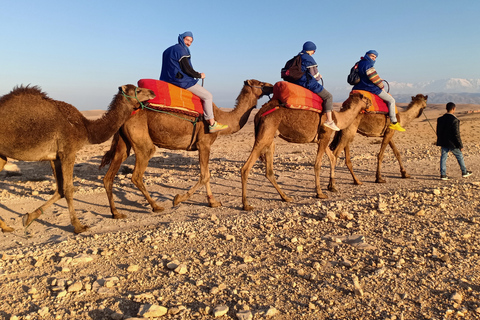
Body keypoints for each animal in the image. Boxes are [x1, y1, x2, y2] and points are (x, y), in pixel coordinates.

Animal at [0, 84, 155, 235]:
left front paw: (28, 217)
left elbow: (60, 190)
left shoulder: (55, 157)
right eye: (138, 90)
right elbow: (68, 189)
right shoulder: (68, 151)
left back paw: (6, 227)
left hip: (1, 155)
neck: (85, 127)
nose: (152, 92)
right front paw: (79, 226)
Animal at [100, 79, 274, 219]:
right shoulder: (204, 143)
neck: (222, 118)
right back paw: (156, 206)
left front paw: (213, 202)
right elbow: (204, 175)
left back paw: (116, 213)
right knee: (137, 174)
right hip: (142, 142)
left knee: (110, 175)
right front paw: (178, 199)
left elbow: (207, 175)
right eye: (260, 83)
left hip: (124, 142)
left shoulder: (203, 146)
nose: (272, 86)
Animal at [240, 90, 372, 210]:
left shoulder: (321, 140)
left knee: (269, 171)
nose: (370, 102)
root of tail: (258, 114)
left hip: (270, 138)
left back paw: (285, 197)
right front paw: (320, 193)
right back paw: (246, 205)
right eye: (365, 97)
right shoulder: (325, 136)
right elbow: (318, 164)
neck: (338, 119)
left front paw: (332, 187)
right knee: (246, 168)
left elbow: (332, 158)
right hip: (265, 133)